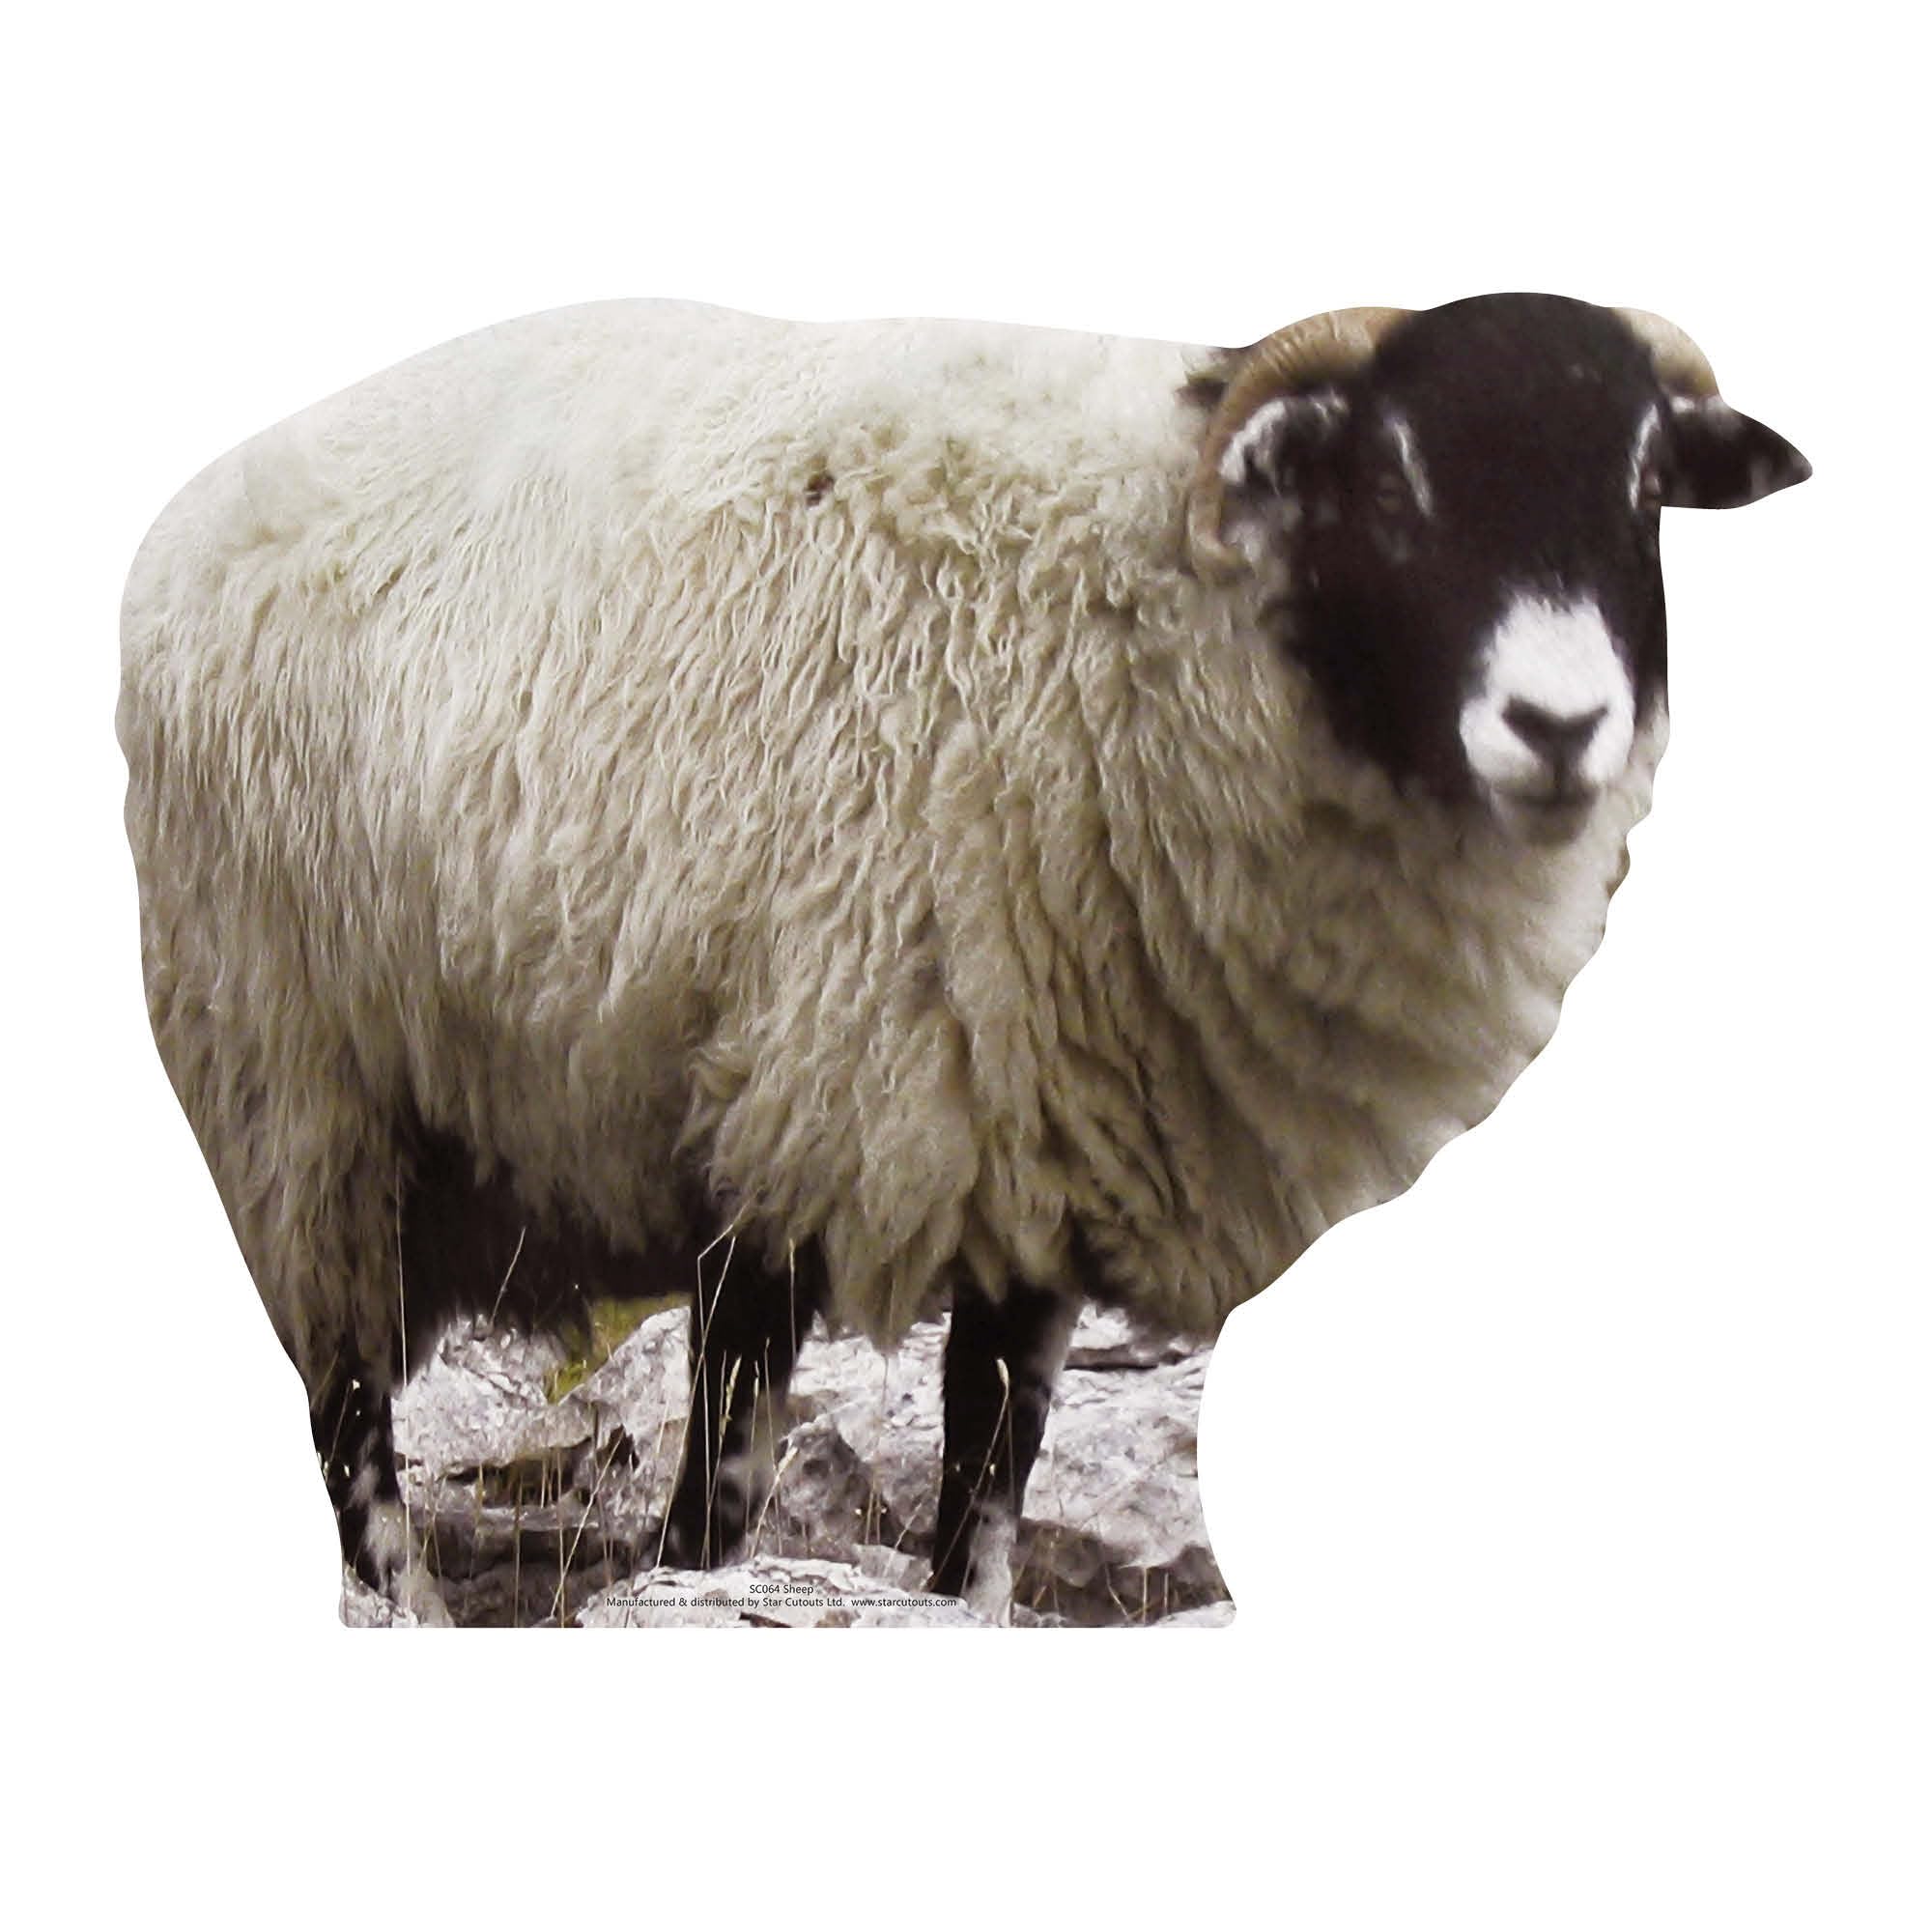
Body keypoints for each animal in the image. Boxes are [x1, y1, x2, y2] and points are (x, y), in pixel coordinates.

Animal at [118, 293, 1809, 1623]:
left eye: (1645, 487)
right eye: (1389, 480)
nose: (1561, 726)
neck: (1156, 624)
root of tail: (202, 498)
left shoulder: (1045, 1143)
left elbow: (991, 1481)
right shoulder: (789, 1091)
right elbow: (722, 1484)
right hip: (291, 1085)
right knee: (346, 1415)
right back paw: (398, 1597)